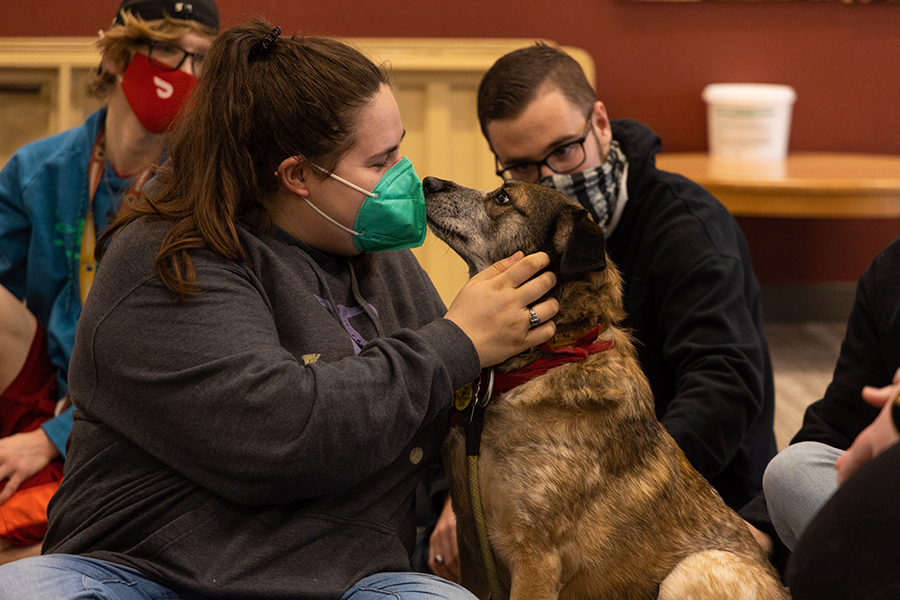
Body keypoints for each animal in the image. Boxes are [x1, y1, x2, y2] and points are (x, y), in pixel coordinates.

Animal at [424, 178, 788, 600]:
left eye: (503, 197)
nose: (429, 182)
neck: (544, 358)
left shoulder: (536, 559)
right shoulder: (472, 546)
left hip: (693, 569)